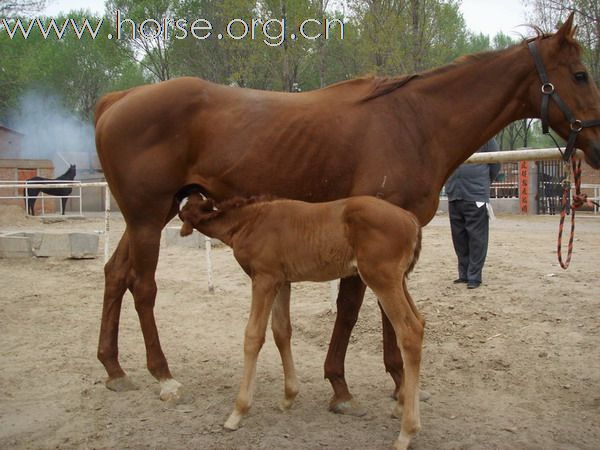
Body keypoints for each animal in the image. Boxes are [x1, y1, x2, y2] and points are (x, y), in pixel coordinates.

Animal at [180, 193, 424, 450]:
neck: (250, 221)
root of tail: (410, 219)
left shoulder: (264, 279)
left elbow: (253, 336)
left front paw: (238, 411)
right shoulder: (281, 281)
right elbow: (281, 331)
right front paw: (288, 396)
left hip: (381, 279)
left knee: (409, 332)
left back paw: (406, 432)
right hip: (399, 281)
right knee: (420, 322)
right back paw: (401, 405)